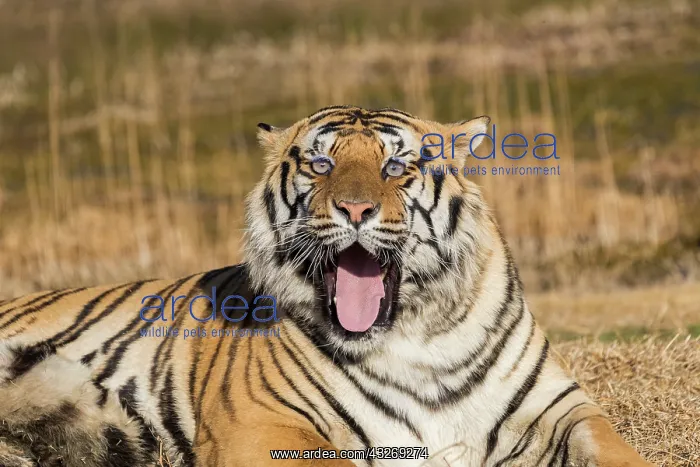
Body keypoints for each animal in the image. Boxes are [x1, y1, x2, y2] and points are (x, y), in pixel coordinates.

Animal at [0, 105, 653, 467]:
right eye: (320, 164)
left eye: (397, 166)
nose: (355, 209)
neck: (417, 333)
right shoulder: (261, 424)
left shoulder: (561, 408)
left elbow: (616, 449)